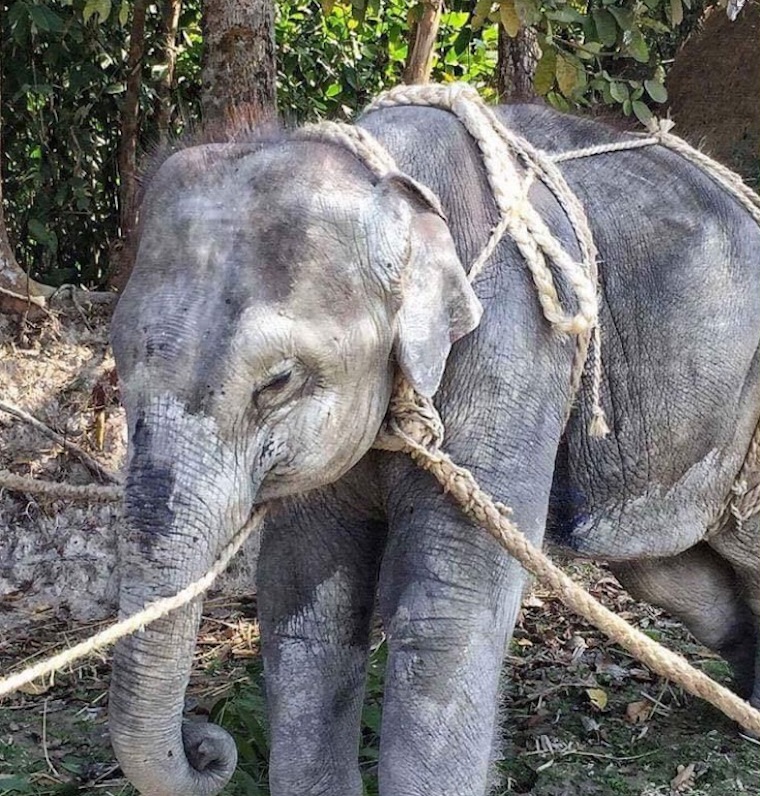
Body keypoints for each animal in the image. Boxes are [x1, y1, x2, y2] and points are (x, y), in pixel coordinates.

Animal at [108, 94, 760, 796]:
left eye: (276, 382)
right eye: (118, 360)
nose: (207, 745)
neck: (390, 176)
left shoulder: (514, 343)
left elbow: (448, 606)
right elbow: (305, 597)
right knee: (667, 575)